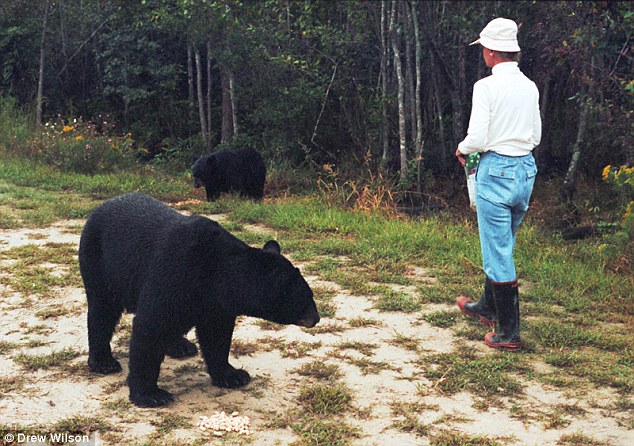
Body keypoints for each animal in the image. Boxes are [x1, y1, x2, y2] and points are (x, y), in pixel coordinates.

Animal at [77, 193, 318, 408]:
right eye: (307, 297)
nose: (316, 318)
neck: (216, 272)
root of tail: (99, 208)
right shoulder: (174, 272)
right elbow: (150, 326)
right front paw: (151, 395)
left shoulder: (215, 303)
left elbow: (217, 335)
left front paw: (233, 375)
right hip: (98, 261)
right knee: (102, 310)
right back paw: (104, 362)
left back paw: (180, 346)